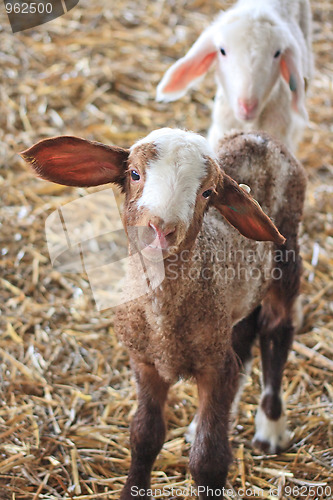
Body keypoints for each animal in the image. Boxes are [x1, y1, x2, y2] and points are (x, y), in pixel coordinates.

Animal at [21, 128, 306, 496]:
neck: (162, 322)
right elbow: (144, 436)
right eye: (134, 174)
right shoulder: (145, 363)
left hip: (288, 251)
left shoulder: (214, 367)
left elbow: (209, 460)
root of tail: (257, 137)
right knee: (243, 337)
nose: (161, 229)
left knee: (277, 330)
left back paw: (270, 427)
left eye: (207, 192)